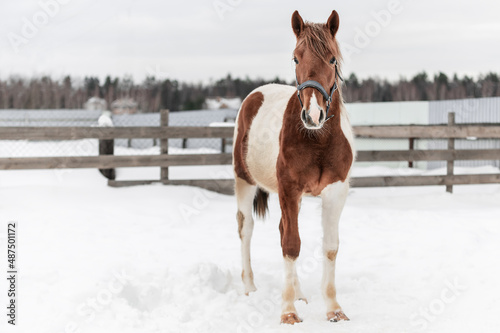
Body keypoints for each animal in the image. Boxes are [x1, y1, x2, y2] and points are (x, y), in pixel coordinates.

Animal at [232, 9, 354, 322]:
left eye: (332, 59)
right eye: (296, 58)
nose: (313, 115)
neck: (317, 140)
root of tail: (254, 95)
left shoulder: (335, 192)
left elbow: (330, 247)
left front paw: (334, 309)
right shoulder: (288, 189)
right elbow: (291, 245)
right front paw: (288, 312)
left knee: (281, 229)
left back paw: (300, 294)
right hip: (244, 181)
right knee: (246, 229)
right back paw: (250, 288)